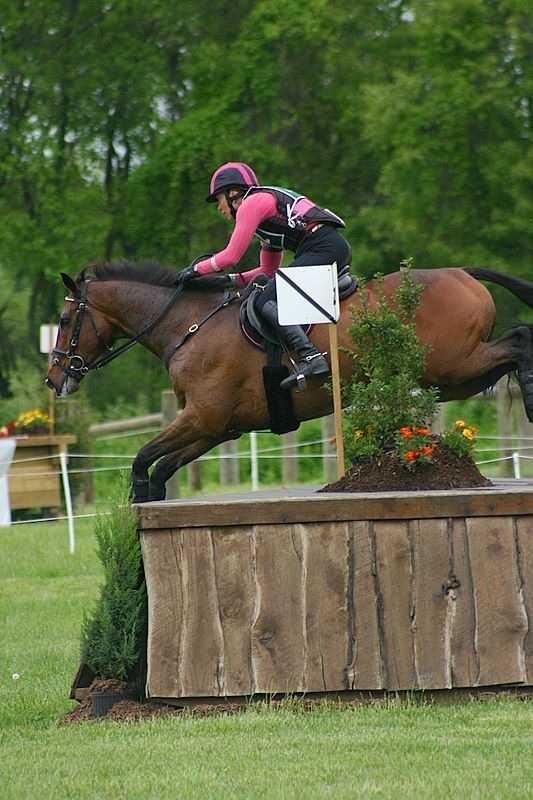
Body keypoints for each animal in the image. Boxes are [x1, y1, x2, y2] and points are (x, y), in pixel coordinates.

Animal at [45, 261, 533, 502]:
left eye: (66, 321)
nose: (54, 380)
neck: (187, 325)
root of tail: (462, 274)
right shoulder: (217, 427)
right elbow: (162, 467)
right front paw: (152, 499)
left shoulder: (202, 417)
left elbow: (142, 459)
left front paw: (139, 497)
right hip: (453, 376)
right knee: (511, 349)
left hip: (454, 364)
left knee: (519, 340)